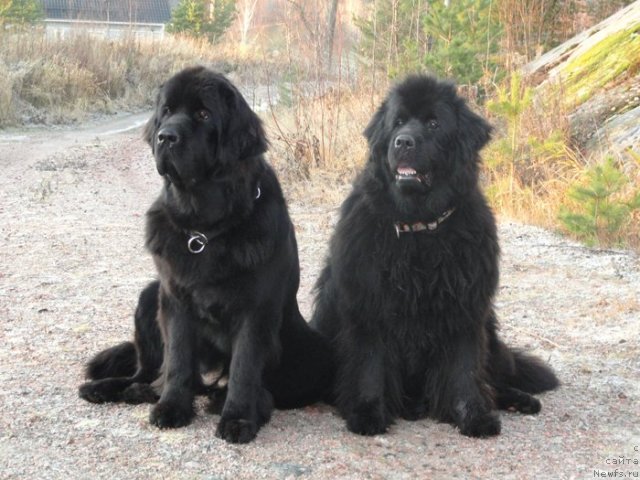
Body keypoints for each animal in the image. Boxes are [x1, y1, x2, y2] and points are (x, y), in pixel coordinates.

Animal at [77, 65, 332, 444]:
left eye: (203, 115)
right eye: (167, 111)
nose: (165, 137)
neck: (205, 229)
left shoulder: (255, 309)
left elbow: (243, 367)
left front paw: (238, 418)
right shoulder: (175, 300)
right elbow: (179, 361)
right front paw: (172, 407)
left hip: (314, 351)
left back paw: (226, 401)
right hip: (149, 296)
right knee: (148, 372)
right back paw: (116, 388)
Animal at [312, 75, 556, 438]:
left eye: (433, 124)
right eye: (398, 121)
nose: (403, 142)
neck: (419, 228)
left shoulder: (465, 308)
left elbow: (465, 369)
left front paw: (474, 416)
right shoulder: (368, 305)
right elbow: (369, 364)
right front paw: (367, 413)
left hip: (490, 327)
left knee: (493, 377)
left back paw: (517, 400)